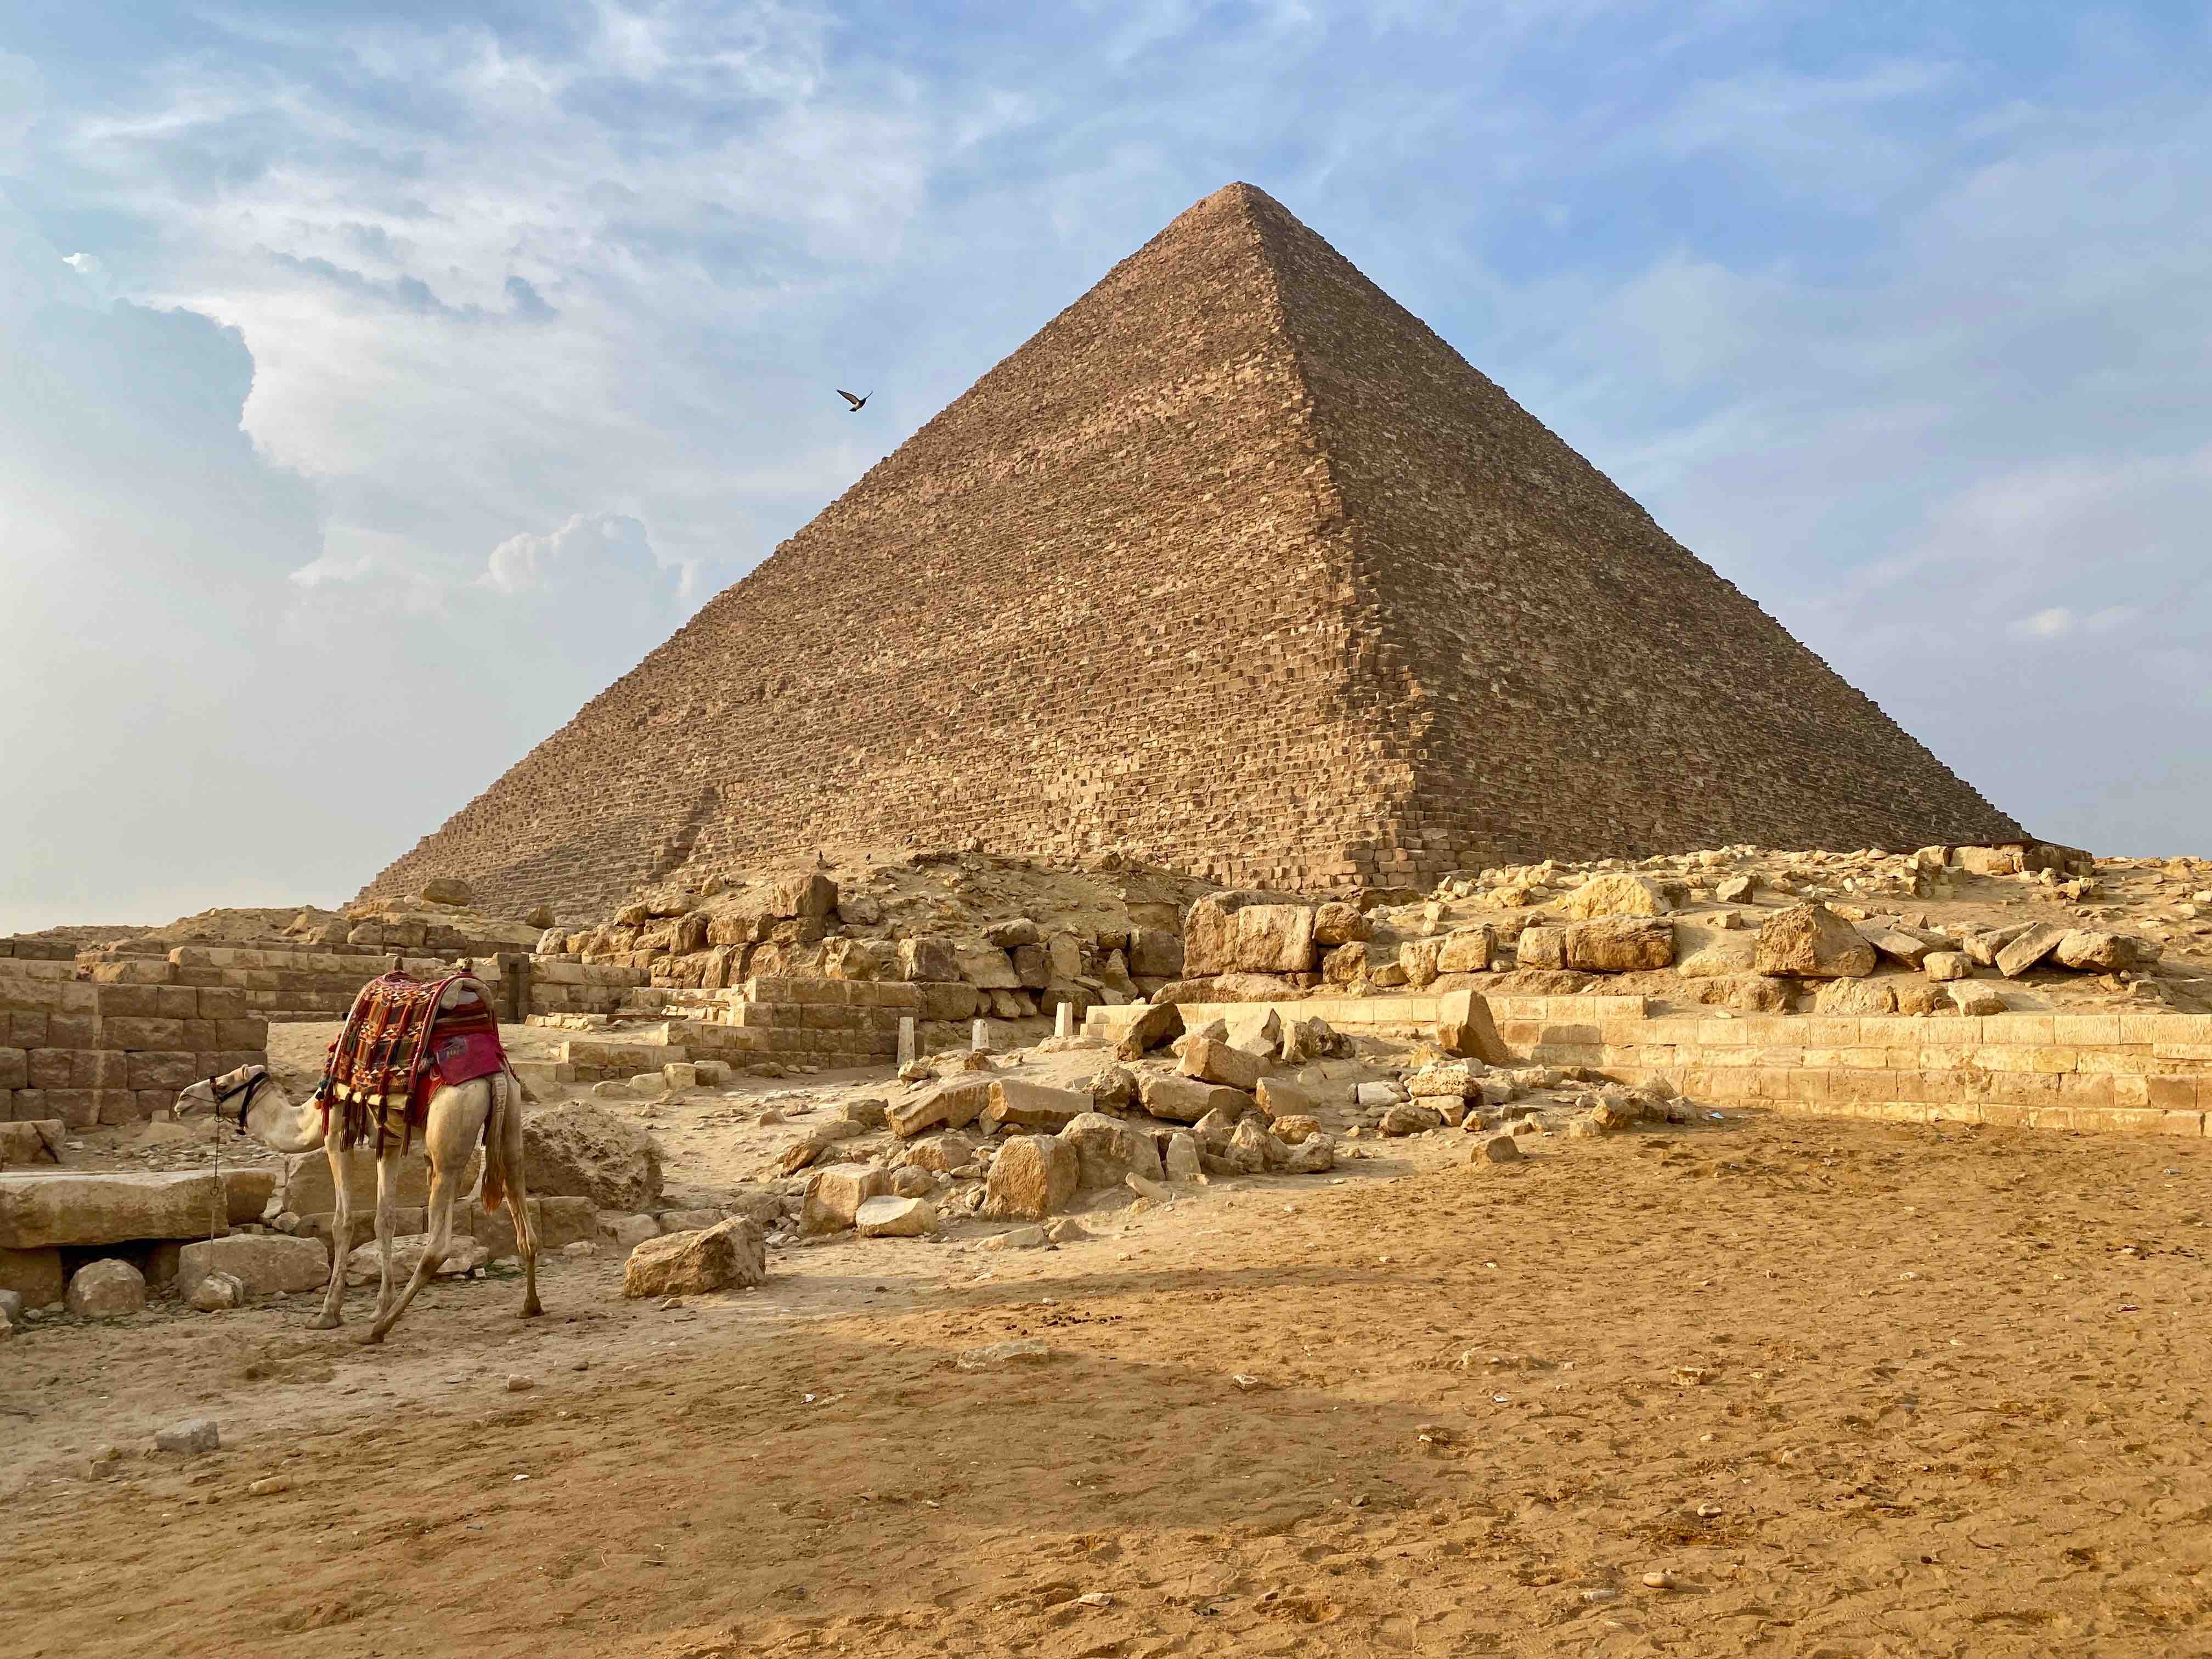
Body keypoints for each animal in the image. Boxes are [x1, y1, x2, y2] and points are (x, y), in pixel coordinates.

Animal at [168, 982, 539, 1345]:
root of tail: (493, 1070)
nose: (182, 1100)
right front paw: (379, 1305)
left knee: (438, 1243)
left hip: (449, 1133)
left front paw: (328, 1314)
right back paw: (530, 1306)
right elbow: (384, 1219)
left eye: (224, 1084)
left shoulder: (336, 1135)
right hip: (510, 1116)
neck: (311, 1113)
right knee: (518, 1193)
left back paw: (378, 1331)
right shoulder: (388, 1143)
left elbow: (343, 1222)